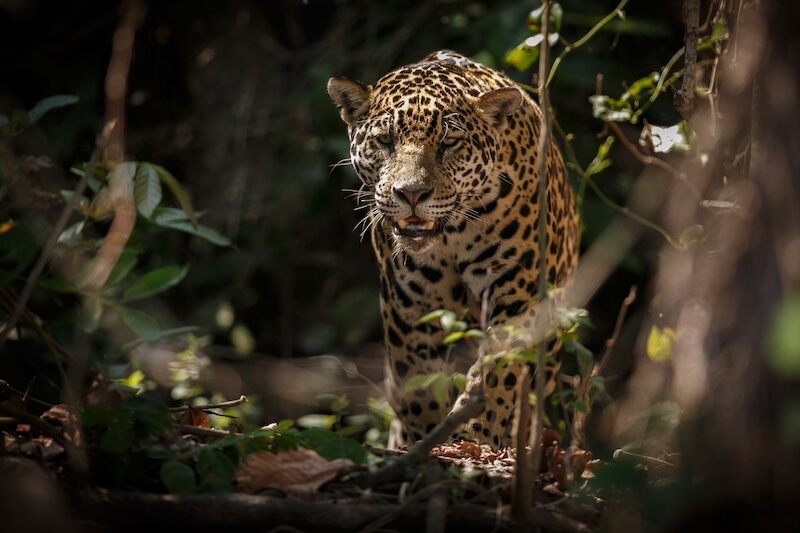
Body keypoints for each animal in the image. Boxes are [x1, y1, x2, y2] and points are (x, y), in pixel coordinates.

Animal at [328, 50, 580, 449]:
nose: (411, 194)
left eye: (449, 144)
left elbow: (496, 371)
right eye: (385, 141)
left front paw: (473, 434)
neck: (452, 236)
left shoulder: (518, 293)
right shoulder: (408, 307)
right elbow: (418, 385)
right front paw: (428, 441)